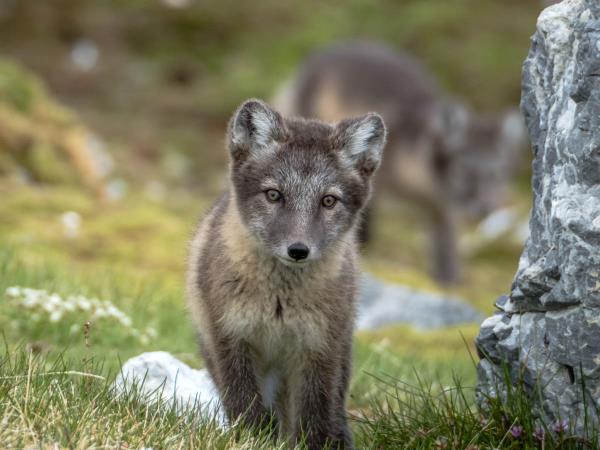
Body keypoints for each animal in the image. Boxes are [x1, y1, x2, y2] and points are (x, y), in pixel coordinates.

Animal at [186, 97, 384, 446]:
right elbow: (244, 404)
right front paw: (249, 439)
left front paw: (314, 445)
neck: (279, 303)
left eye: (328, 201)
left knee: (329, 411)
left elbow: (315, 416)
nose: (298, 250)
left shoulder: (319, 348)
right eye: (274, 194)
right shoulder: (231, 337)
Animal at [274, 41, 524, 282]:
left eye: (498, 175)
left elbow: (445, 243)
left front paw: (449, 279)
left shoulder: (442, 207)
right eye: (466, 170)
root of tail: (315, 58)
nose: (485, 209)